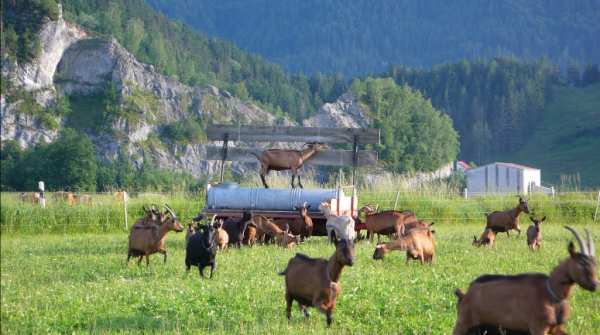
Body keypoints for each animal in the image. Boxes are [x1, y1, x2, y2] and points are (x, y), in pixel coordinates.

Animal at [452, 226, 596, 335]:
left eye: (594, 262)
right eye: (581, 263)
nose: (595, 284)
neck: (552, 293)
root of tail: (465, 294)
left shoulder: (556, 328)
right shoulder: (538, 327)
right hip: (464, 323)